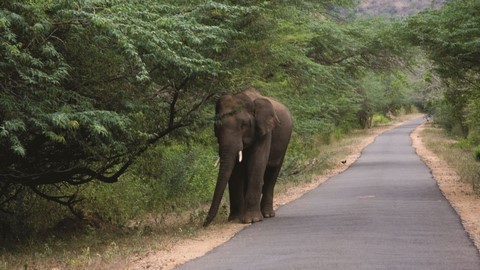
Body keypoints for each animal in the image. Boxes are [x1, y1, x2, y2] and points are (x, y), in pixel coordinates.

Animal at [202, 87, 292, 226]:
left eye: (243, 125)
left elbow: (256, 164)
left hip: (285, 143)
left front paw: (252, 220)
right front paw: (236, 220)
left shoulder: (265, 131)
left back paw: (267, 215)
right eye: (217, 127)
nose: (204, 224)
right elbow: (236, 170)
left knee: (272, 173)